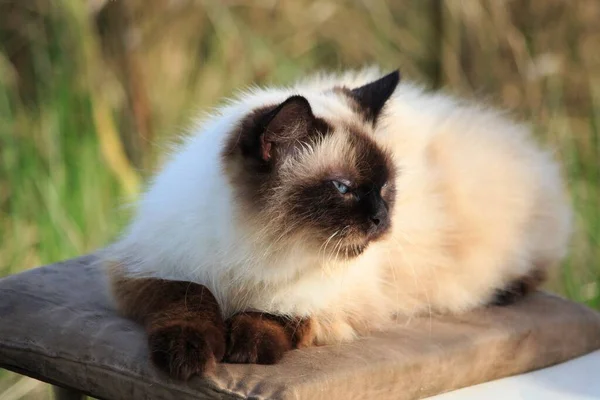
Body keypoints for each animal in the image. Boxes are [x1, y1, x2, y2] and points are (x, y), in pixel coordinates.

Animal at [103, 69, 572, 382]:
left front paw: (247, 348)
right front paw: (188, 357)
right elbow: (192, 295)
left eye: (385, 188)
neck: (263, 248)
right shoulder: (142, 272)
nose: (383, 220)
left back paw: (505, 292)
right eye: (343, 188)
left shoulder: (332, 303)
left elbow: (277, 313)